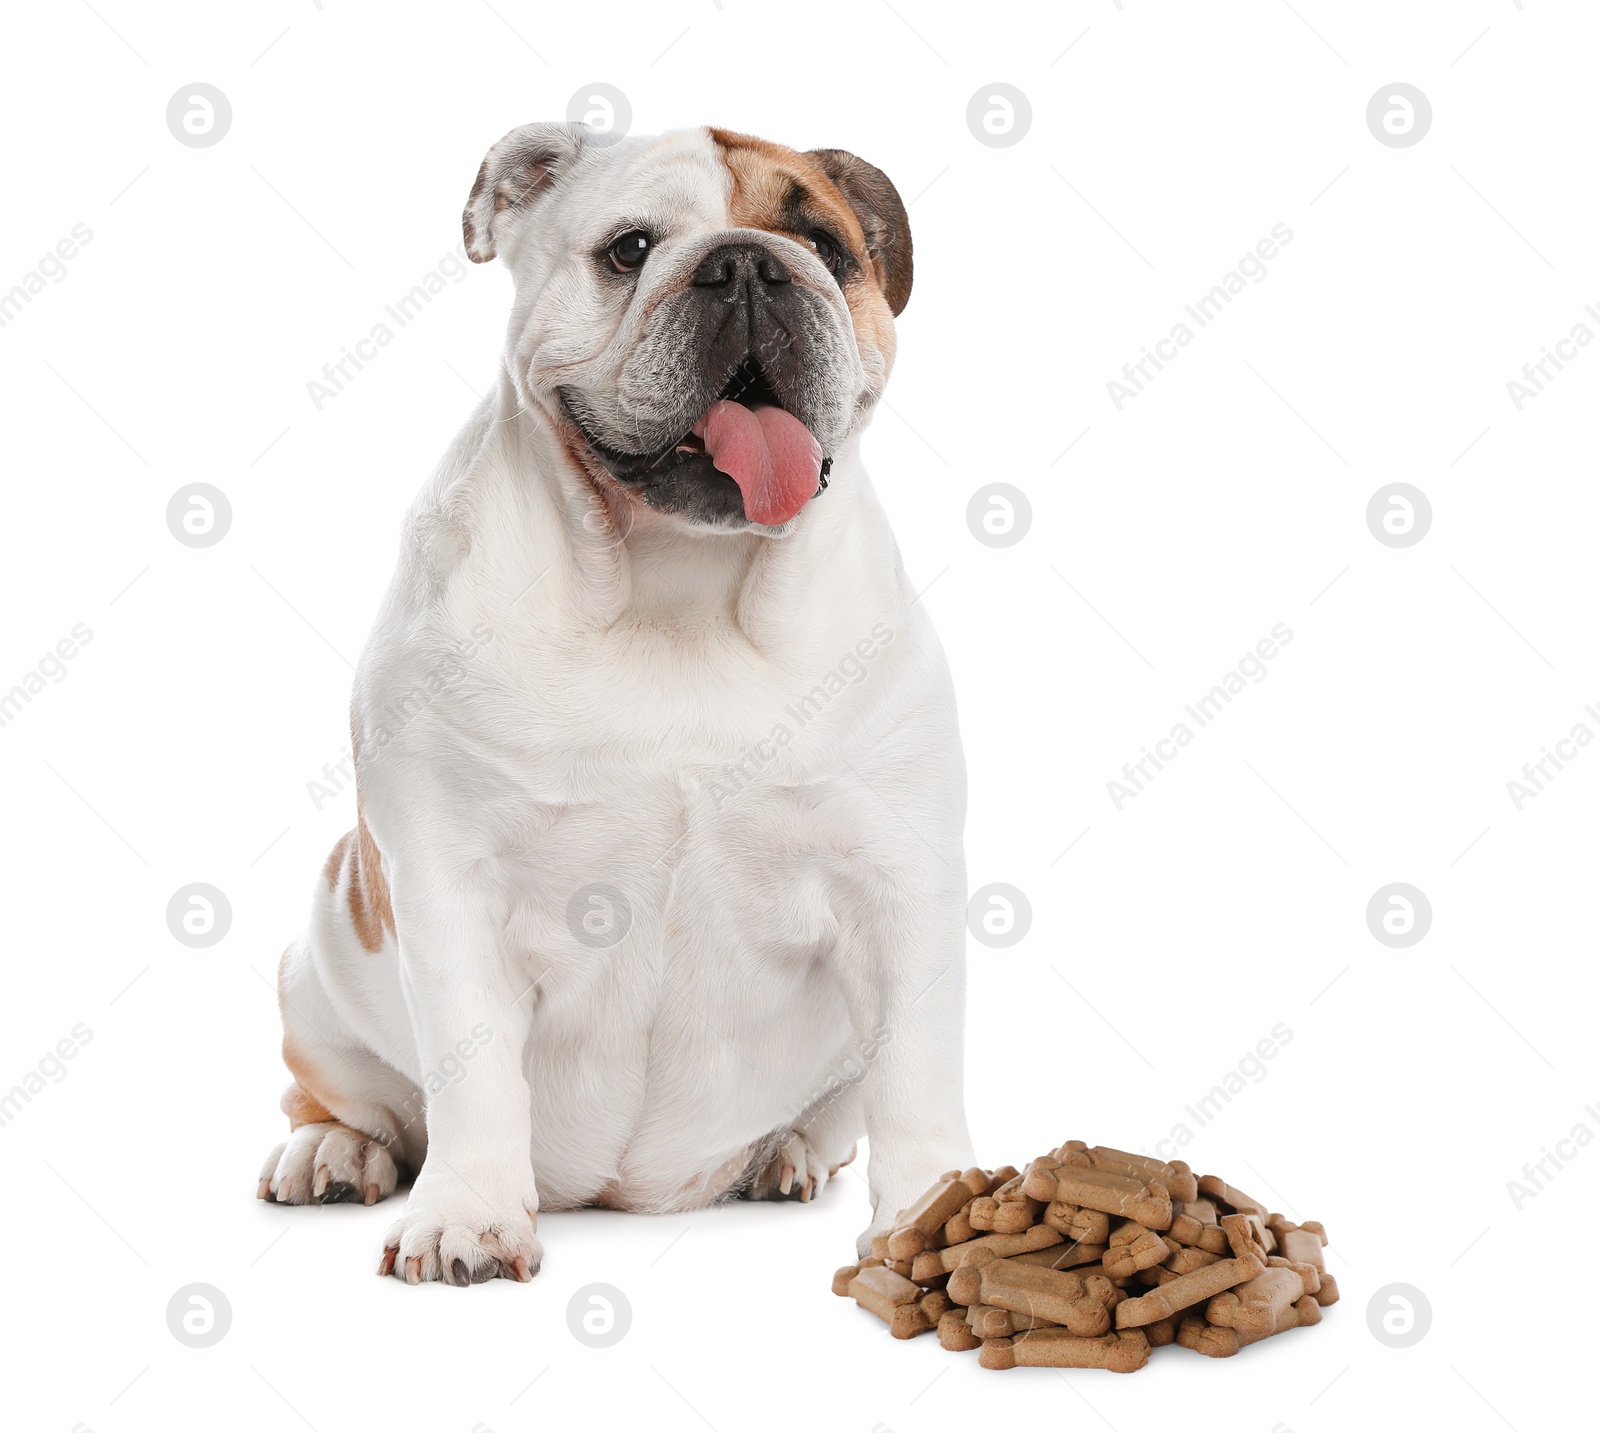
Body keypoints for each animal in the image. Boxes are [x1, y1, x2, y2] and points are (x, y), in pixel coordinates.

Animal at [259, 126, 972, 1285]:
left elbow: (915, 1071)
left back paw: (785, 1149)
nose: (748, 265)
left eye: (825, 245)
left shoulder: (898, 882)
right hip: (317, 957)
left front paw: (935, 1220)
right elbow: (473, 1069)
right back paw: (335, 1149)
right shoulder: (448, 881)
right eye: (630, 249)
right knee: (351, 1094)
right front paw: (468, 1216)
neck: (675, 585)